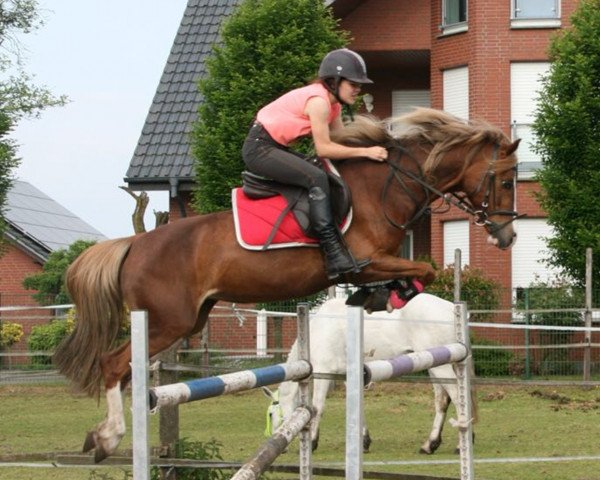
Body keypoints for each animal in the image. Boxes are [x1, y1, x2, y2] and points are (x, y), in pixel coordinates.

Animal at [264, 292, 478, 454]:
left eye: (271, 414)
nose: (280, 447)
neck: (319, 330)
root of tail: (450, 309)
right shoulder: (348, 376)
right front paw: (364, 441)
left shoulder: (324, 373)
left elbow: (317, 407)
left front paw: (313, 442)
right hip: (436, 366)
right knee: (442, 401)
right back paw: (430, 445)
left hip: (440, 367)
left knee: (458, 399)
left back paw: (461, 444)